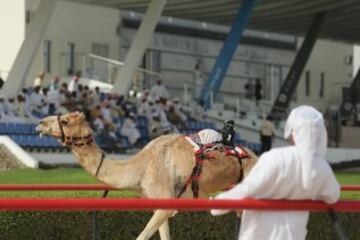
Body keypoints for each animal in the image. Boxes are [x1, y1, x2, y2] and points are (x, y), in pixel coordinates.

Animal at [35, 111, 258, 239]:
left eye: (65, 120)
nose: (41, 123)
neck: (139, 167)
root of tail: (255, 156)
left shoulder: (165, 198)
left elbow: (141, 237)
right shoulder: (159, 204)